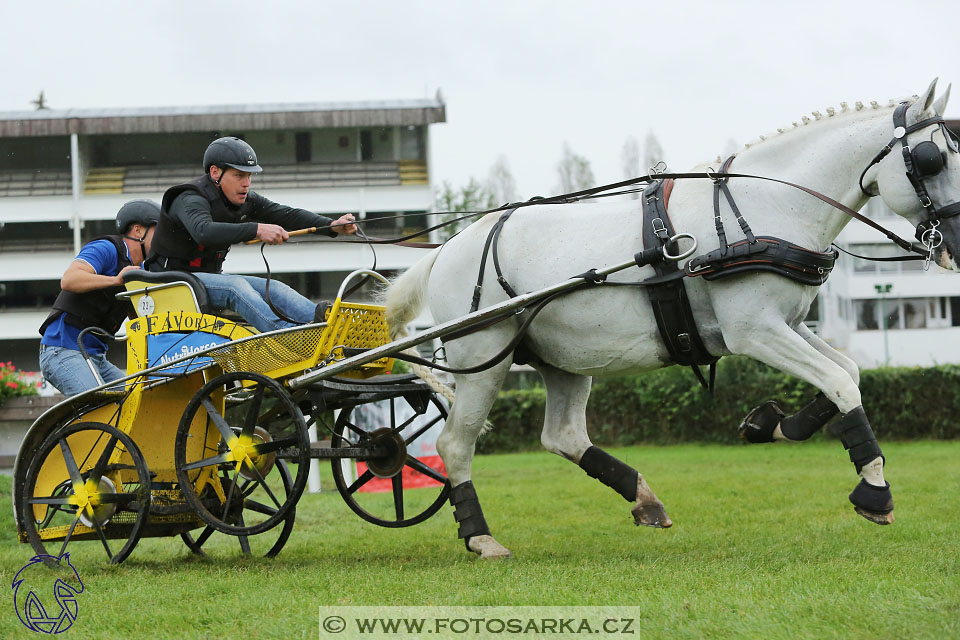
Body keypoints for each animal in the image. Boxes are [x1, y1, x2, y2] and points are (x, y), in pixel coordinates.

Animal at [384, 81, 960, 560]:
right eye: (932, 158)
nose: (953, 242)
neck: (768, 206)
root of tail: (449, 248)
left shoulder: (790, 325)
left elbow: (848, 374)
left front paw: (770, 424)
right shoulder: (755, 331)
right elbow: (841, 382)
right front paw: (874, 489)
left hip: (563, 358)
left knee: (563, 435)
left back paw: (644, 498)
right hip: (483, 356)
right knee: (455, 444)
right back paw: (480, 537)